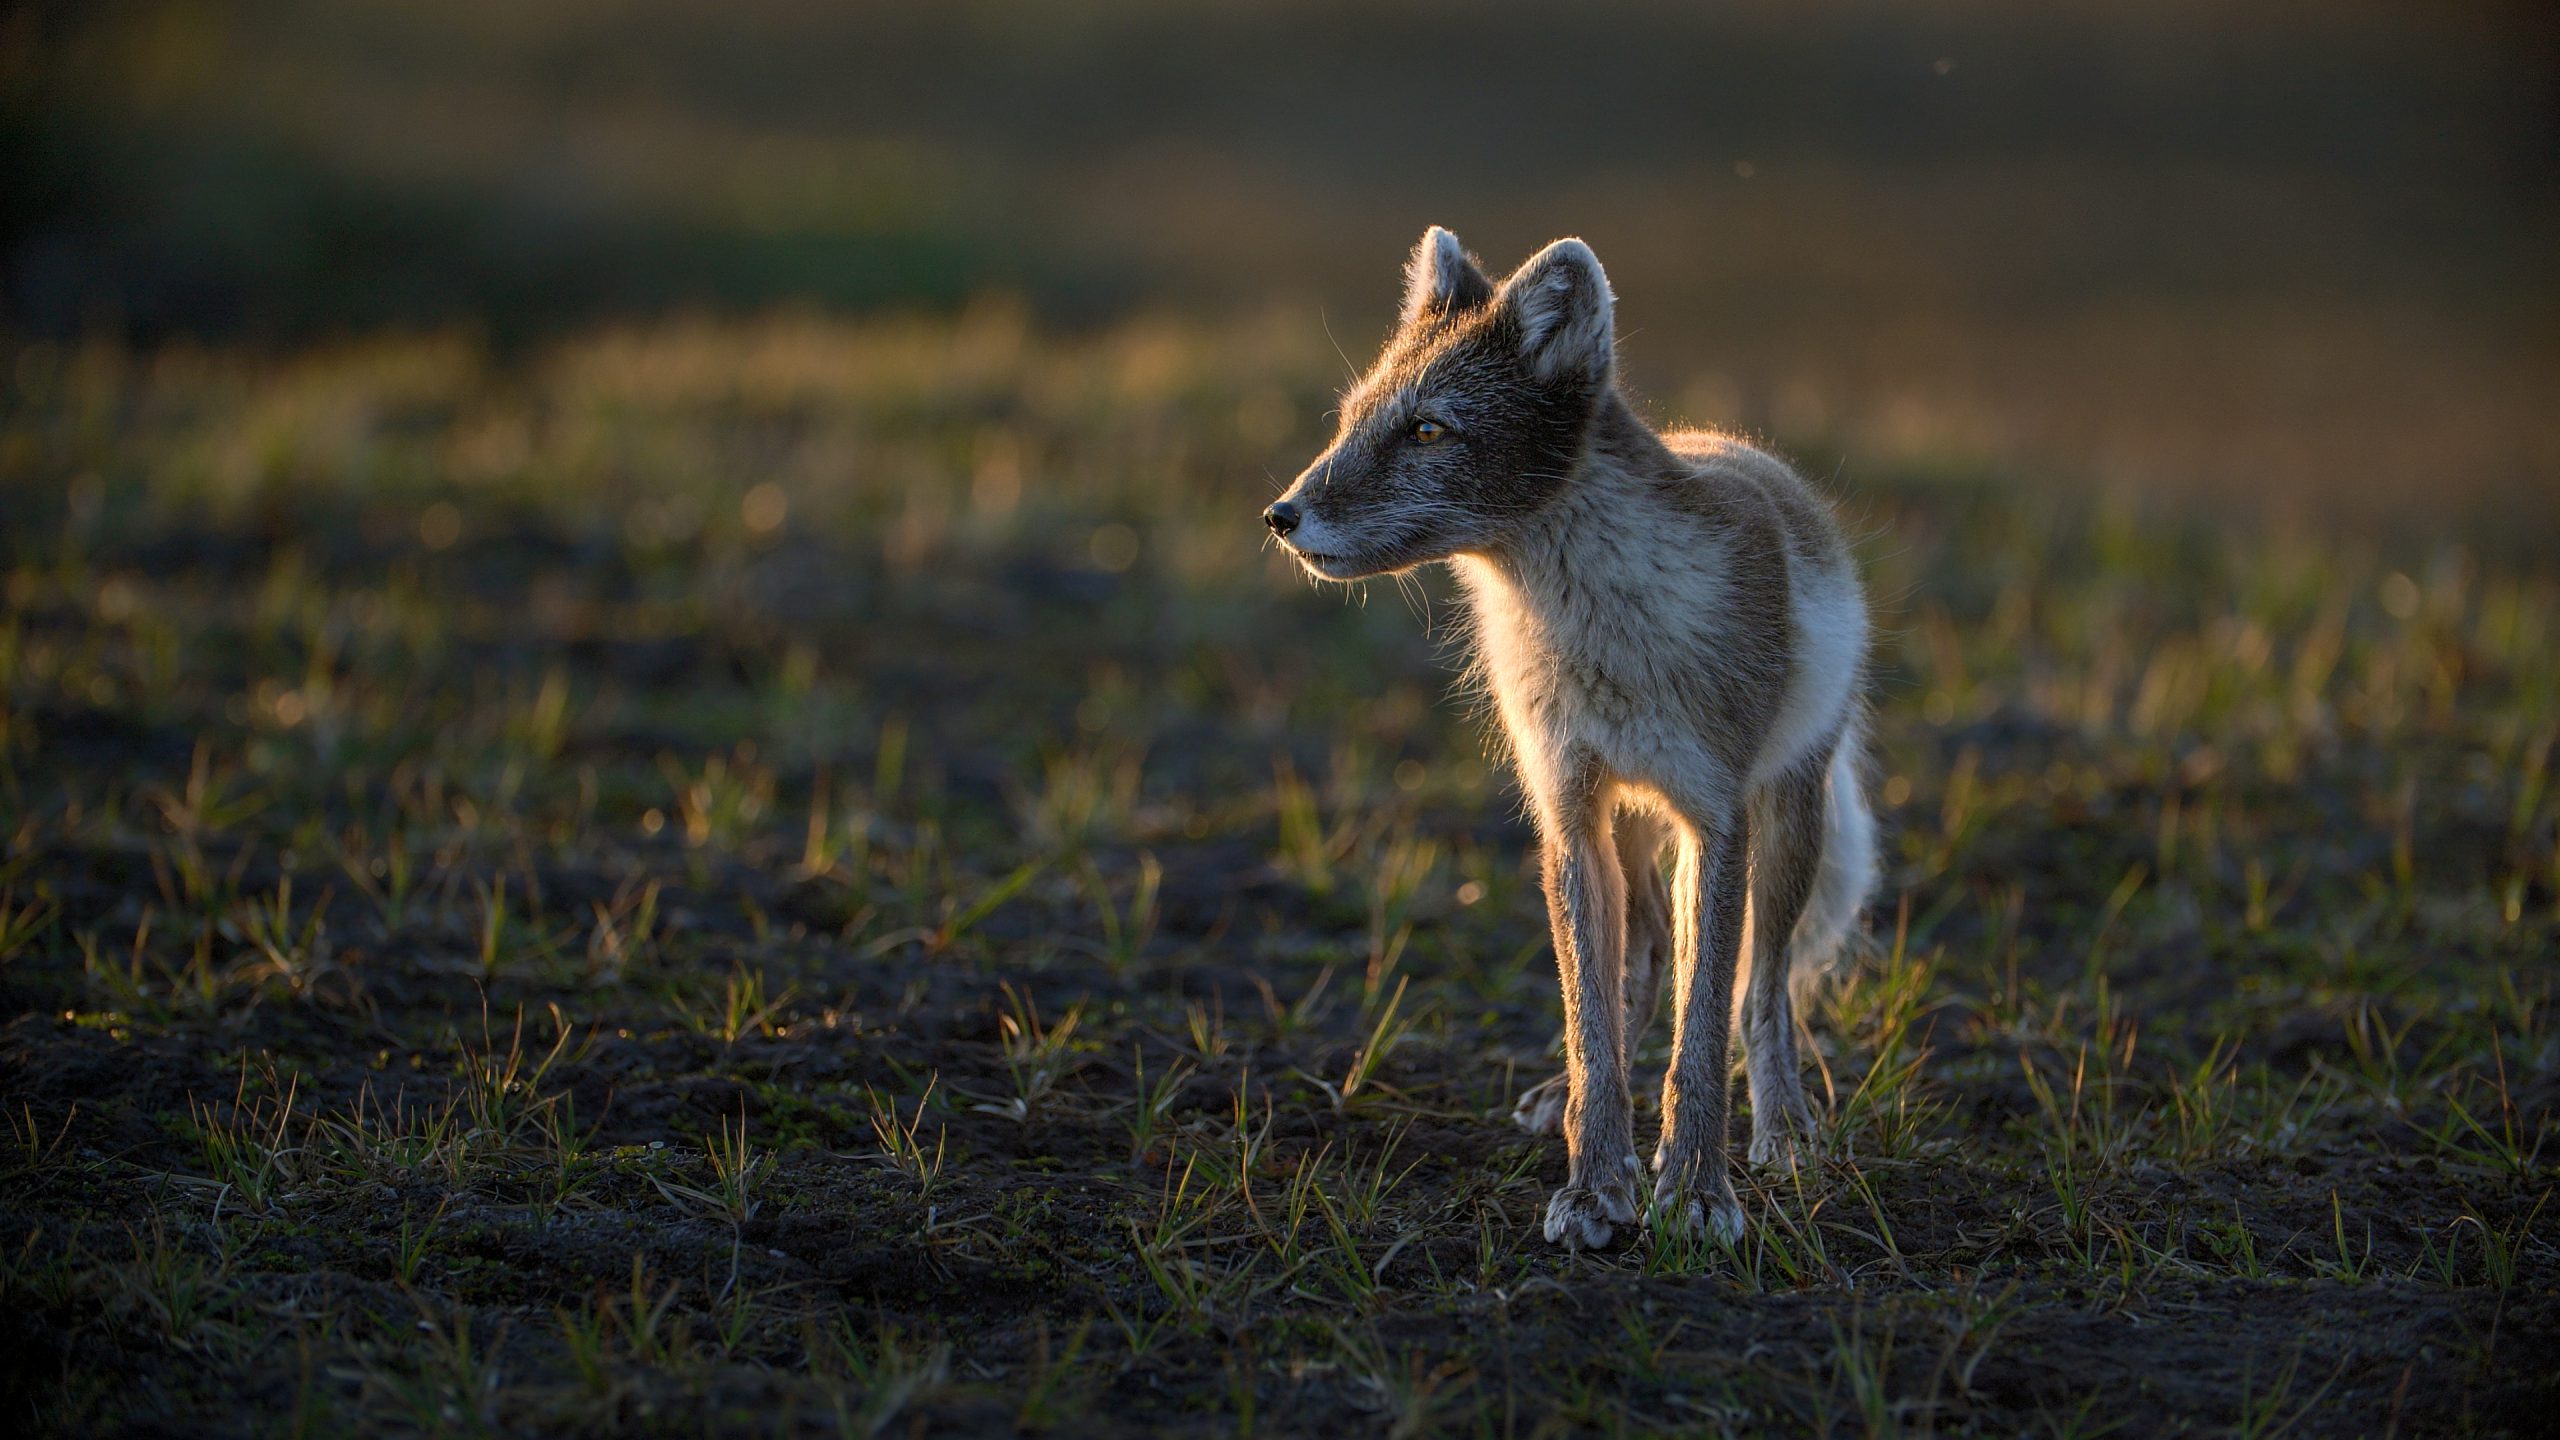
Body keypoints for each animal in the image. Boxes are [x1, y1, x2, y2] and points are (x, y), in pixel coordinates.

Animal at [1263, 228, 1878, 1249]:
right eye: (1350, 420)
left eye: (1427, 430)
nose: (1280, 514)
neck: (1598, 636)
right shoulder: (1568, 811)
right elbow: (1594, 1020)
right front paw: (1596, 1183)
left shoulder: (1715, 820)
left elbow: (1706, 1027)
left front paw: (1695, 1188)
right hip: (1626, 827)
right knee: (1643, 962)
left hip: (1787, 817)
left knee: (1765, 988)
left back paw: (1784, 1126)